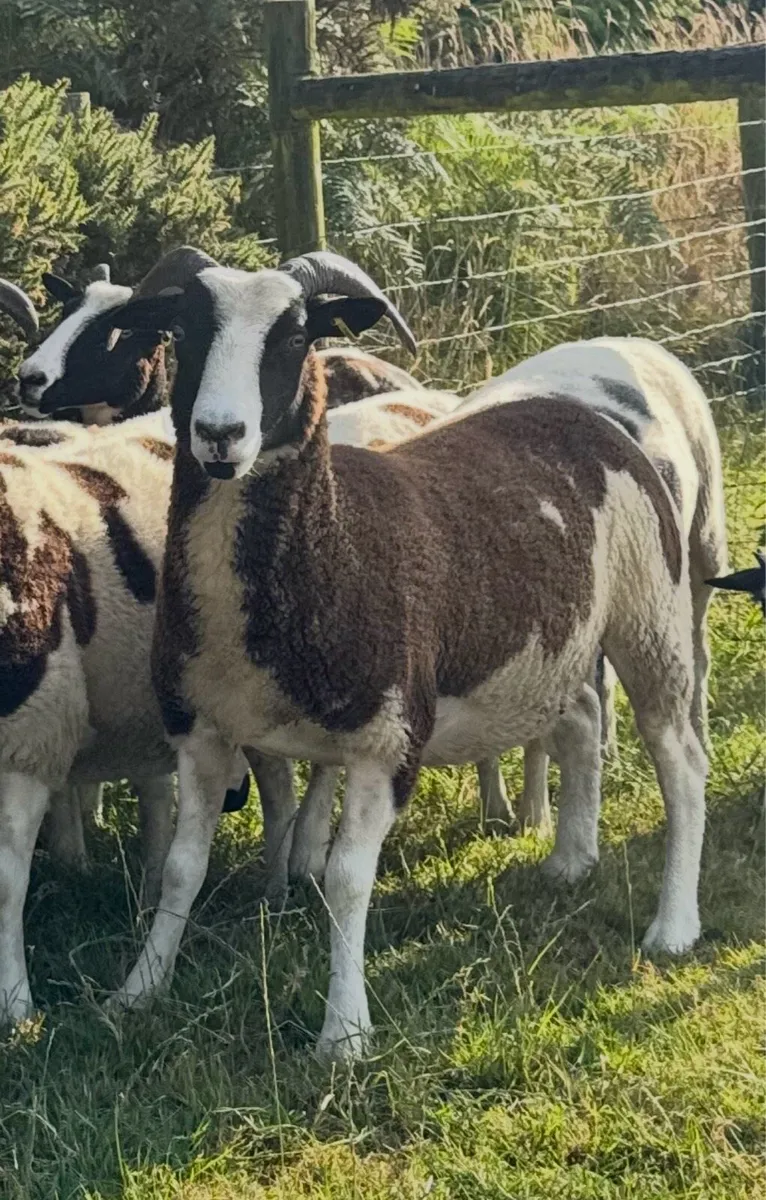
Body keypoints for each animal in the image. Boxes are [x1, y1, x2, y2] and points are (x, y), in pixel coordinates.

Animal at [456, 337, 729, 834]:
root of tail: (631, 340)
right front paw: (496, 814)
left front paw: (533, 823)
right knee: (608, 680)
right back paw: (608, 755)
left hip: (704, 536)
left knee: (698, 651)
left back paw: (702, 742)